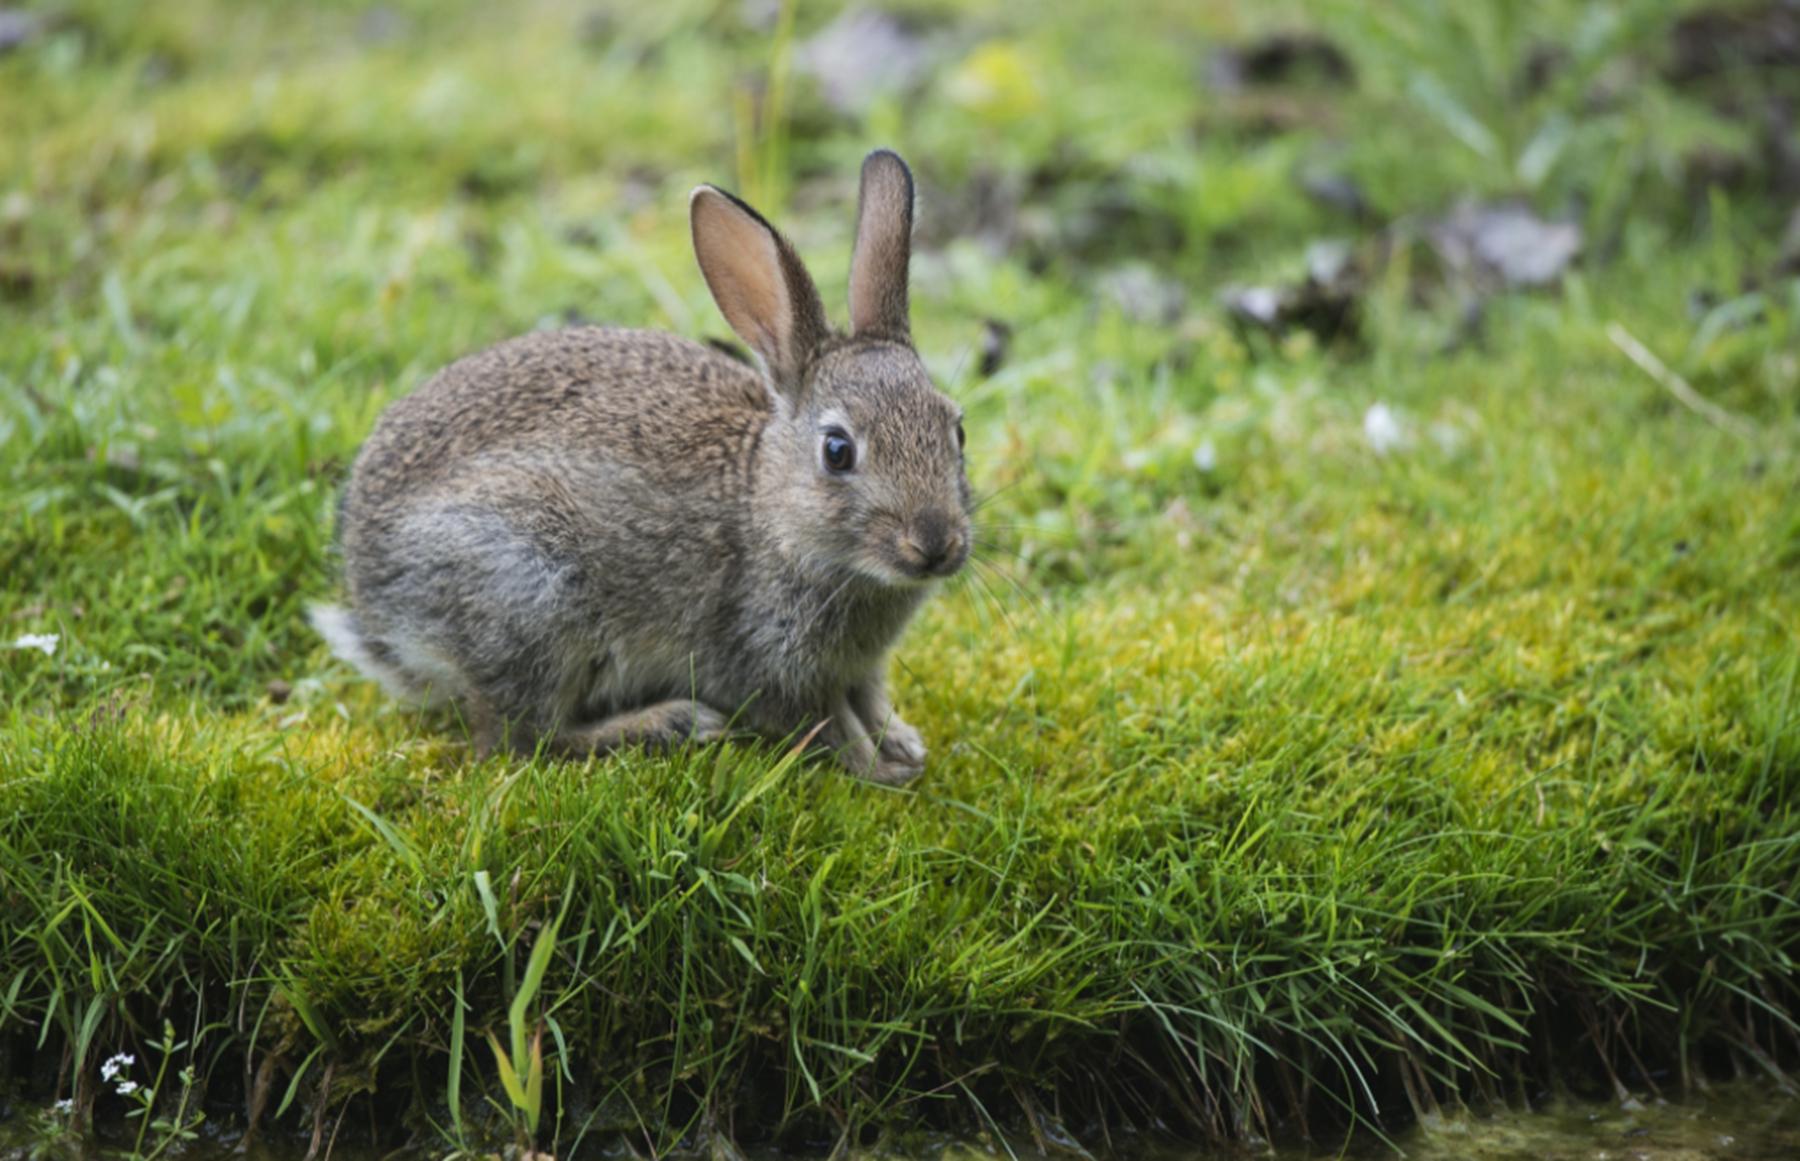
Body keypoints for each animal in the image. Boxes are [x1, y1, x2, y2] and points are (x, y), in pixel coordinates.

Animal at [316, 149, 979, 784]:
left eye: (958, 430)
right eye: (837, 451)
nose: (935, 544)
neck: (768, 512)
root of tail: (374, 598)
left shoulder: (859, 668)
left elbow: (868, 700)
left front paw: (903, 743)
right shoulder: (766, 661)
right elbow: (826, 723)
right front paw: (880, 770)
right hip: (529, 595)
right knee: (522, 741)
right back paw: (671, 722)